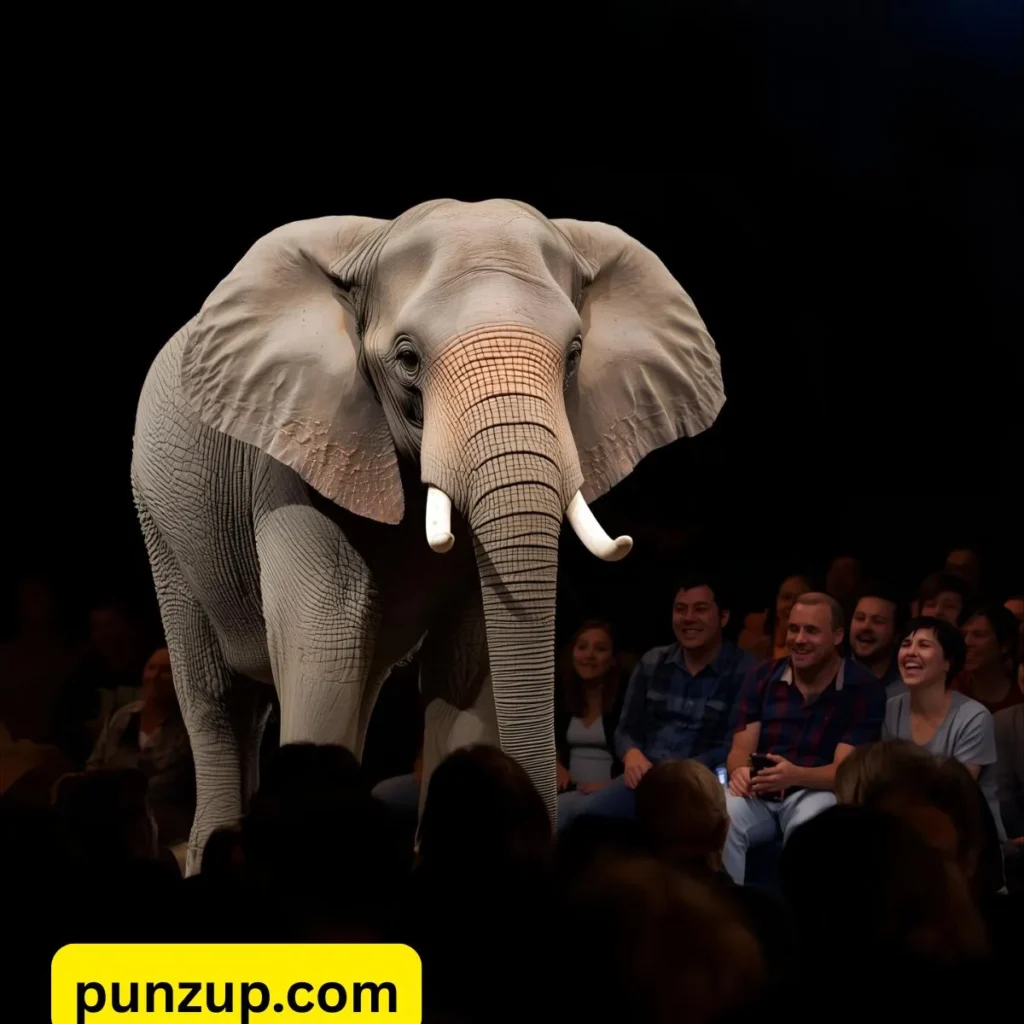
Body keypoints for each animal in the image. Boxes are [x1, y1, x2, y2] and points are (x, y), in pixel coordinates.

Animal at [130, 198, 725, 874]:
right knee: (218, 700)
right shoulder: (292, 457)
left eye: (575, 353)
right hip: (159, 520)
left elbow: (463, 665)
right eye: (408, 358)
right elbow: (326, 641)